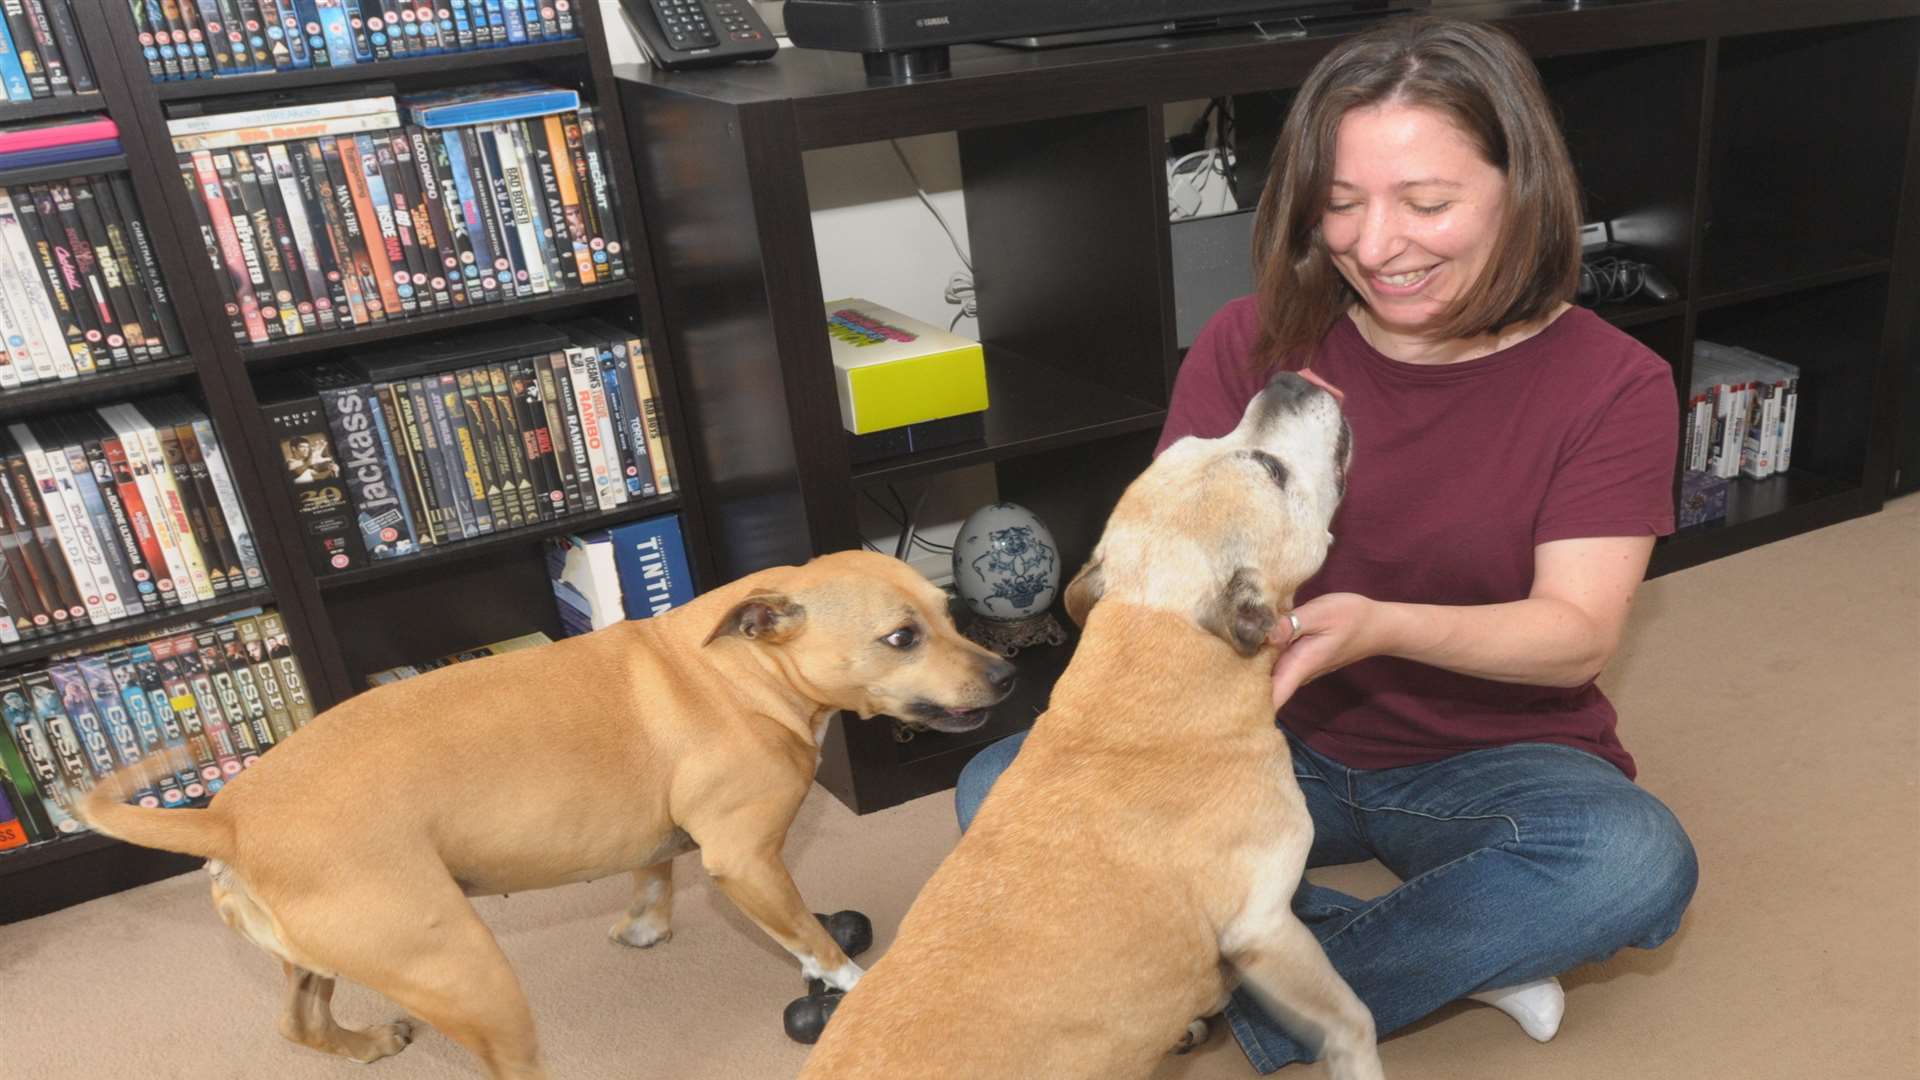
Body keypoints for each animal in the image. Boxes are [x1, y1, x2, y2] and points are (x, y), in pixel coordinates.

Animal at [80, 549, 1013, 1076]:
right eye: (901, 638)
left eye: (950, 614)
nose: (1006, 675)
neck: (739, 669)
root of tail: (227, 816)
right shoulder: (746, 861)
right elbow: (815, 945)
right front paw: (851, 982)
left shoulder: (675, 838)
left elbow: (654, 869)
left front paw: (644, 925)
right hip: (469, 974)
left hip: (318, 961)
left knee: (298, 1021)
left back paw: (363, 1047)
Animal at [794, 372, 1382, 1076]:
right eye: (1270, 469)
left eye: (1199, 438)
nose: (1288, 379)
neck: (1156, 645)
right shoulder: (1265, 927)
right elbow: (1354, 1018)